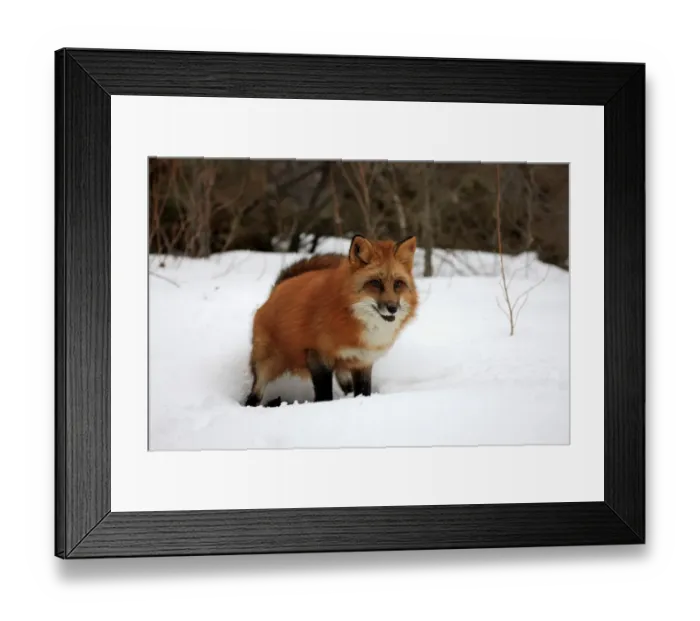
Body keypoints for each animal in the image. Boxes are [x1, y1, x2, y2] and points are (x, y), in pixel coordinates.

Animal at [244, 234, 419, 407]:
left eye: (398, 284)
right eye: (375, 283)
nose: (392, 308)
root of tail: (279, 287)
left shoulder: (362, 360)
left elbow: (364, 391)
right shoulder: (317, 355)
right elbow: (324, 395)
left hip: (342, 367)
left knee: (346, 386)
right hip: (265, 366)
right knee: (253, 396)